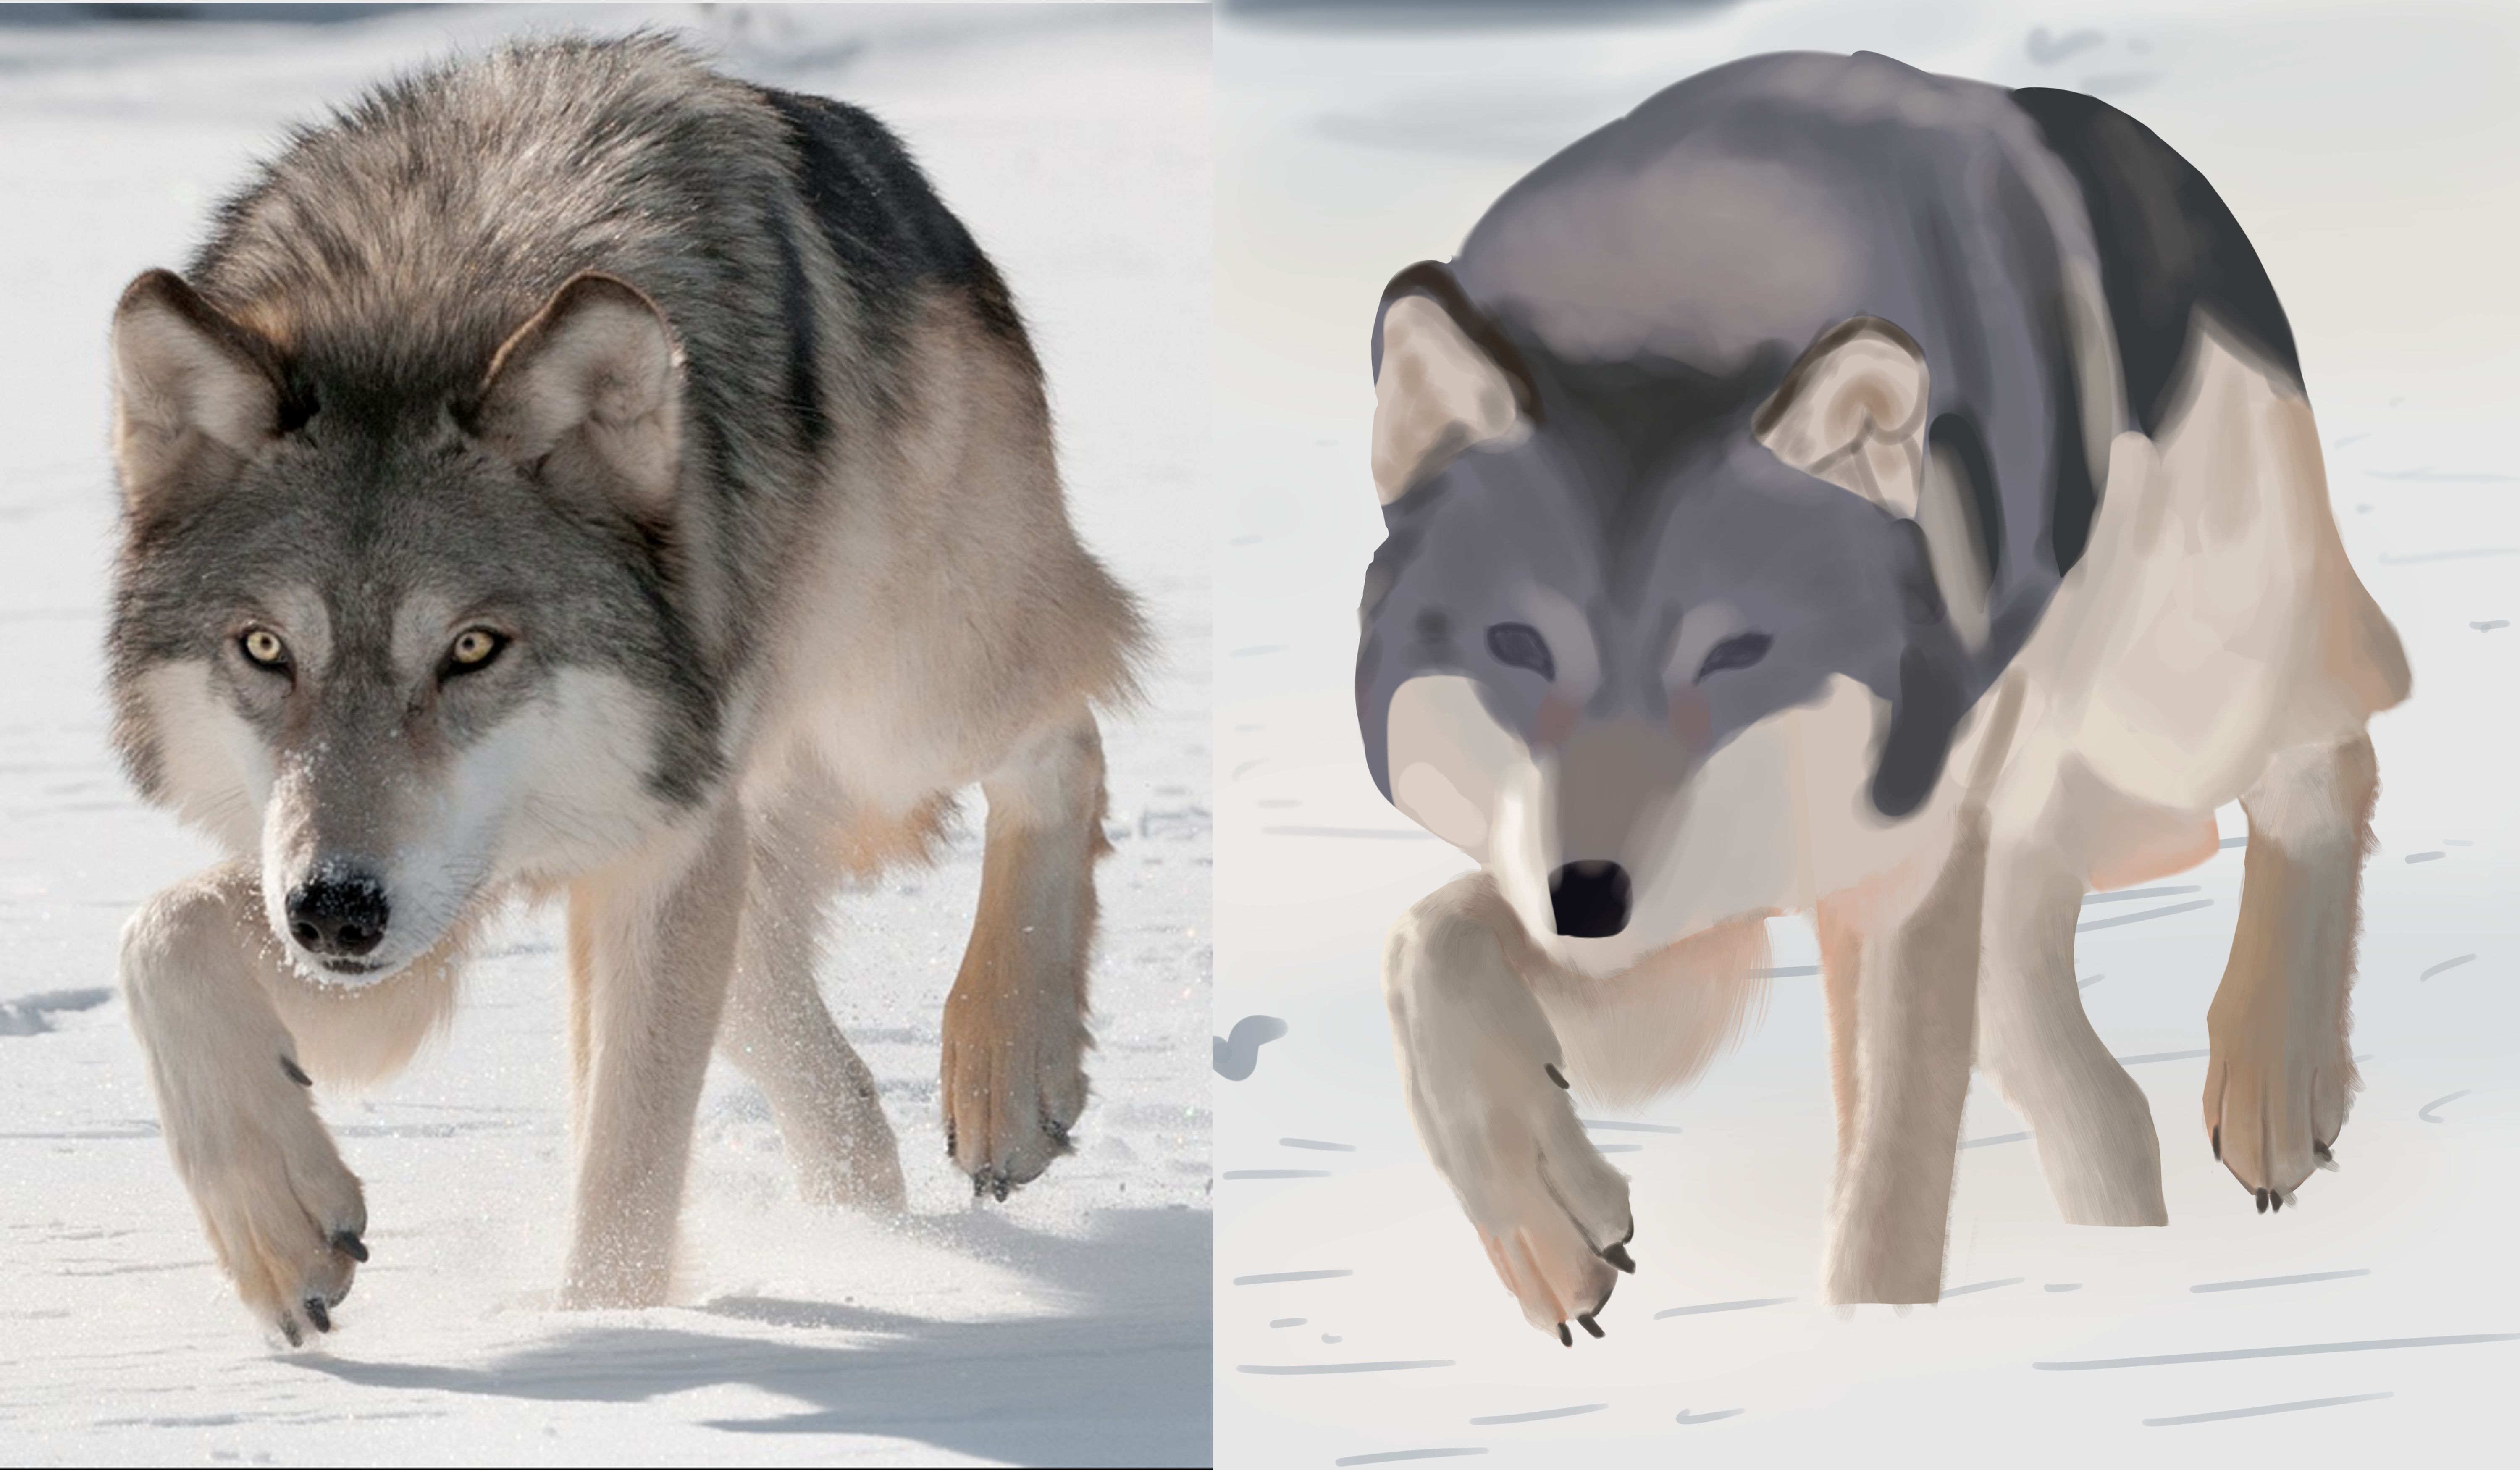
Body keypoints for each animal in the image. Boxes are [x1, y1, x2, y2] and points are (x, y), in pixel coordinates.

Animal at [106, 35, 1144, 1343]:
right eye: (262, 649)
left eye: (473, 649)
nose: (336, 911)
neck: (425, 291)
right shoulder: (416, 917)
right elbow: (161, 935)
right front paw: (281, 1231)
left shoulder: (637, 855)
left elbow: (628, 1168)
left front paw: (606, 1338)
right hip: (713, 838)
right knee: (821, 1069)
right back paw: (869, 1233)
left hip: (897, 707)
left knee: (1066, 736)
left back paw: (1005, 1080)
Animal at [1357, 51, 2409, 1340]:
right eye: (1518, 645)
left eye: (1734, 653)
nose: (1588, 894)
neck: (1670, 304)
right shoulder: (1702, 918)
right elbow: (1424, 945)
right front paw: (1551, 1228)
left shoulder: (1894, 881)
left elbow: (1888, 1197)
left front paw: (1871, 1330)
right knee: (2102, 1104)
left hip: (2183, 696)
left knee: (2337, 744)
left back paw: (2276, 1084)